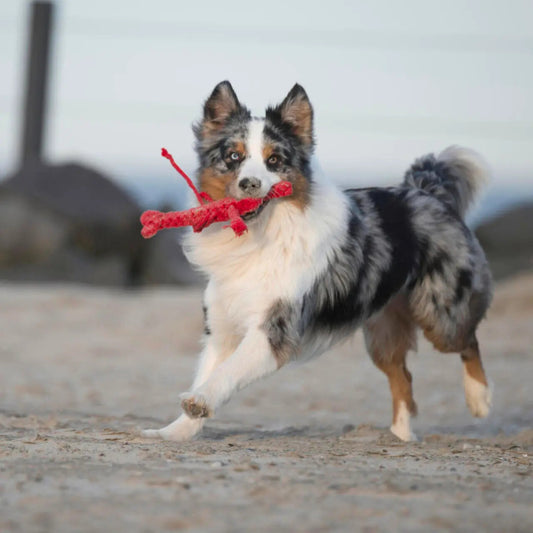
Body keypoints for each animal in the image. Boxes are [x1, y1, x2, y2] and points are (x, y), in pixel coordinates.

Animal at [141, 81, 490, 442]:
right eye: (233, 156)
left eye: (274, 160)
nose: (250, 183)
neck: (259, 236)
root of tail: (427, 192)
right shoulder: (221, 327)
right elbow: (210, 370)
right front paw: (174, 431)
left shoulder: (275, 329)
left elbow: (228, 371)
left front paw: (199, 401)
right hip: (383, 329)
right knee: (403, 377)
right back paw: (401, 436)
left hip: (441, 313)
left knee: (469, 341)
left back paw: (479, 399)